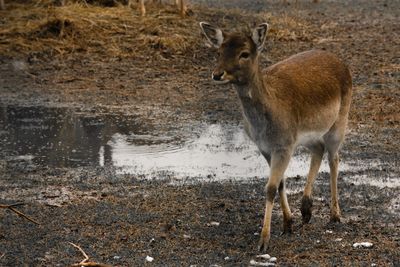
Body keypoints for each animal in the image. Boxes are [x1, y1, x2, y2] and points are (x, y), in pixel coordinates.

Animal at [199, 22, 350, 252]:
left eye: (244, 53)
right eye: (218, 51)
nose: (217, 74)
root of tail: (341, 62)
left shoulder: (284, 144)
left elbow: (270, 187)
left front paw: (264, 241)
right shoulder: (265, 146)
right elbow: (280, 183)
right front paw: (288, 223)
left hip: (340, 120)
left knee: (334, 158)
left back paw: (335, 215)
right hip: (307, 135)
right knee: (318, 149)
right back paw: (306, 209)